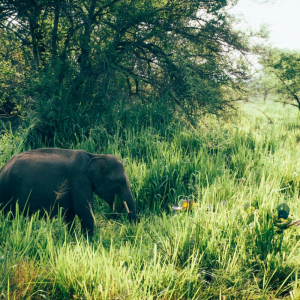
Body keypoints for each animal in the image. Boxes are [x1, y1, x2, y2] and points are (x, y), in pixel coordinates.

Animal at [0, 149, 136, 236]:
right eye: (120, 182)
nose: (131, 229)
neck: (93, 156)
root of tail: (3, 168)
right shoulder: (79, 180)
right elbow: (84, 210)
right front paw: (90, 243)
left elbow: (70, 214)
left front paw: (72, 239)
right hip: (7, 192)